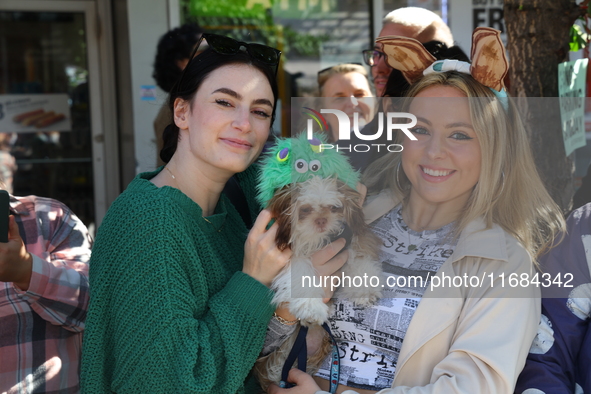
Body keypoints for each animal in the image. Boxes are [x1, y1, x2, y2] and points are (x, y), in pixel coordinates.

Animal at [254, 176, 384, 390]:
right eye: (305, 209)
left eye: (334, 208)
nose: (321, 220)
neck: (317, 241)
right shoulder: (290, 256)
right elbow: (301, 273)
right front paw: (311, 308)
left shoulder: (347, 242)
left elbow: (357, 257)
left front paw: (365, 289)